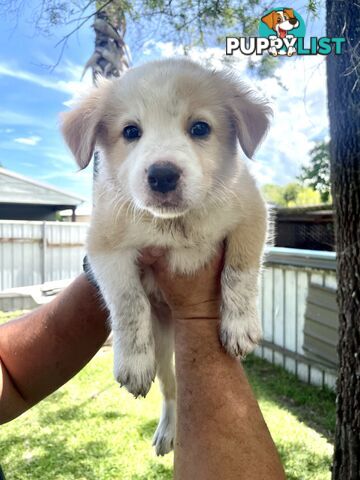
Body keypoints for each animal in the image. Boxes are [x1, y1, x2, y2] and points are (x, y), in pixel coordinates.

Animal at [61, 58, 270, 456]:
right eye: (130, 131)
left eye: (200, 128)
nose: (162, 176)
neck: (176, 225)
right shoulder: (104, 246)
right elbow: (129, 303)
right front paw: (132, 361)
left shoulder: (252, 214)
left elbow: (240, 271)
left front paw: (239, 326)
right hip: (163, 351)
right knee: (171, 390)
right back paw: (168, 430)